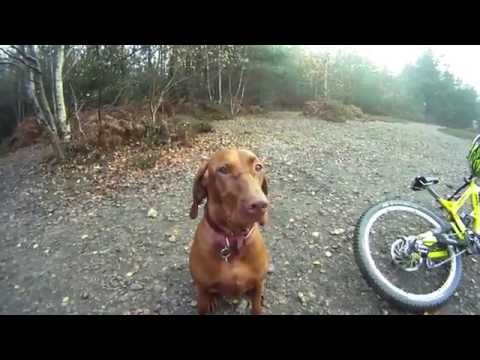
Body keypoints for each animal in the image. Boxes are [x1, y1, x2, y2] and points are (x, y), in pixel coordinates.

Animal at [188, 148, 270, 314]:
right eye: (223, 170)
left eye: (258, 167)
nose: (260, 205)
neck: (233, 239)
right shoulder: (202, 288)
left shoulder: (257, 283)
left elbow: (256, 306)